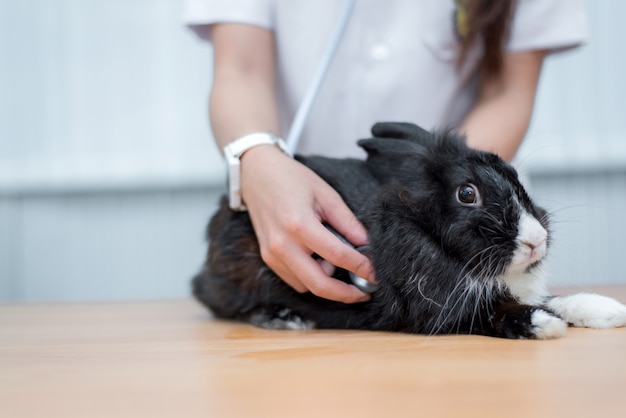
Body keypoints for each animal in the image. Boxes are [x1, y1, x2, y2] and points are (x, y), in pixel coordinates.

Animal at [193, 121, 624, 340]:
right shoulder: (448, 312)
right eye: (467, 193)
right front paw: (543, 324)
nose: (536, 241)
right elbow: (497, 313)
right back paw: (283, 318)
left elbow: (556, 299)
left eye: (516, 178)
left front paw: (608, 311)